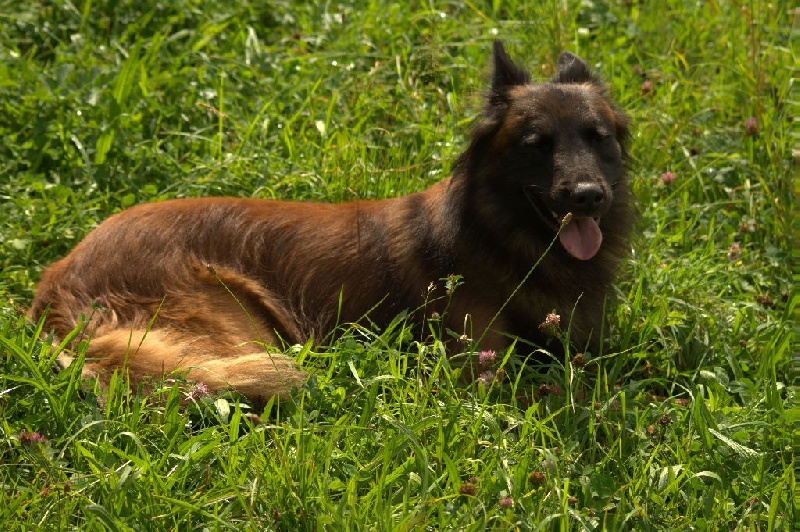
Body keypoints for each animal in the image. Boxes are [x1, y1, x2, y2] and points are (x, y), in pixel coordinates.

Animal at [29, 41, 632, 402]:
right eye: (536, 144)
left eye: (598, 138)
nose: (588, 197)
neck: (504, 237)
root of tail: (55, 281)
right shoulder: (477, 363)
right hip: (240, 328)